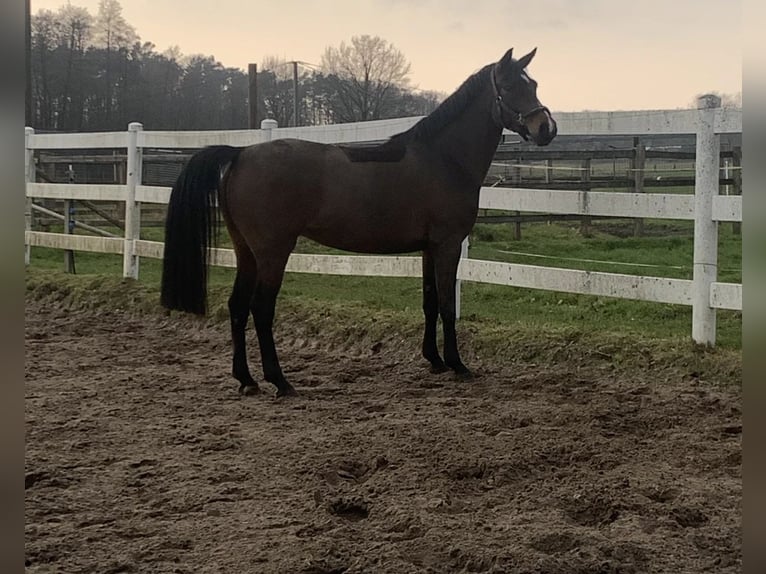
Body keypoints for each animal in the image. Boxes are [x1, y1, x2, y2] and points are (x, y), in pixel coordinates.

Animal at [162, 48, 560, 396]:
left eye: (535, 84)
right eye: (509, 86)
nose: (547, 128)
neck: (443, 158)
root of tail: (241, 153)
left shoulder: (428, 249)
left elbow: (429, 301)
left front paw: (434, 360)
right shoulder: (448, 246)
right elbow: (448, 305)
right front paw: (457, 364)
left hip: (246, 252)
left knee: (237, 306)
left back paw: (246, 380)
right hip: (273, 252)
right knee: (261, 309)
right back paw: (280, 381)